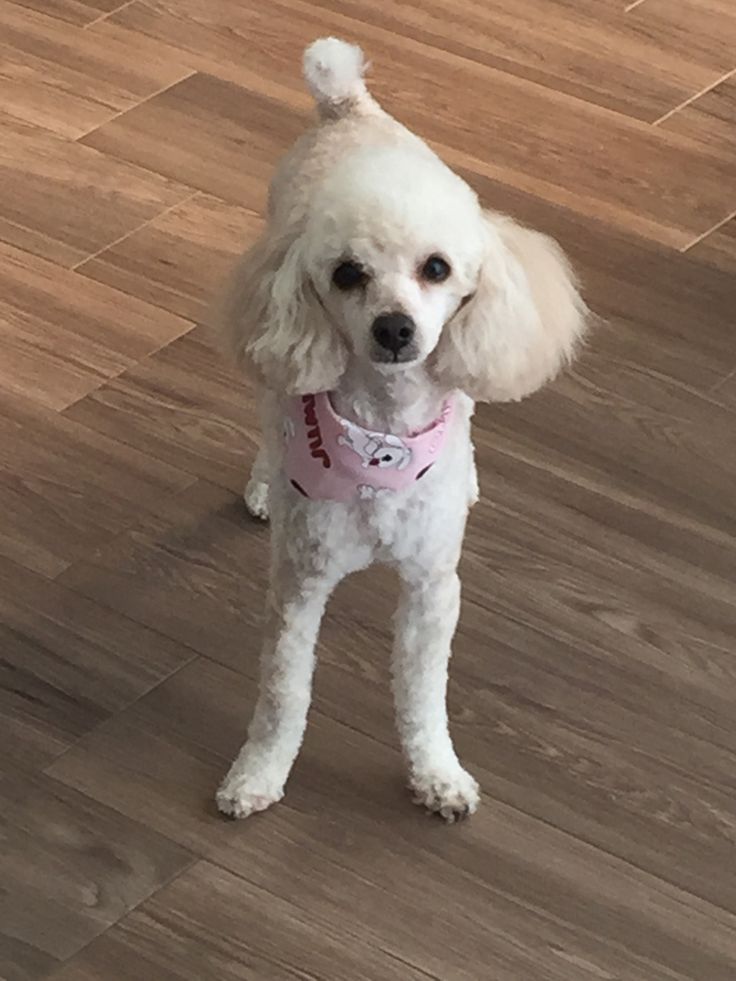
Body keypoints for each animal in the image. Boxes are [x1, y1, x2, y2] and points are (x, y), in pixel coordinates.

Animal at [213, 36, 588, 820]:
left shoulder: (431, 588)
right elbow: (283, 695)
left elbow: (423, 695)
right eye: (347, 274)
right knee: (269, 410)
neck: (379, 441)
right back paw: (265, 484)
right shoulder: (298, 585)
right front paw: (257, 774)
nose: (395, 328)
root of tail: (346, 107)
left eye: (436, 268)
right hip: (272, 367)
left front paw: (438, 775)